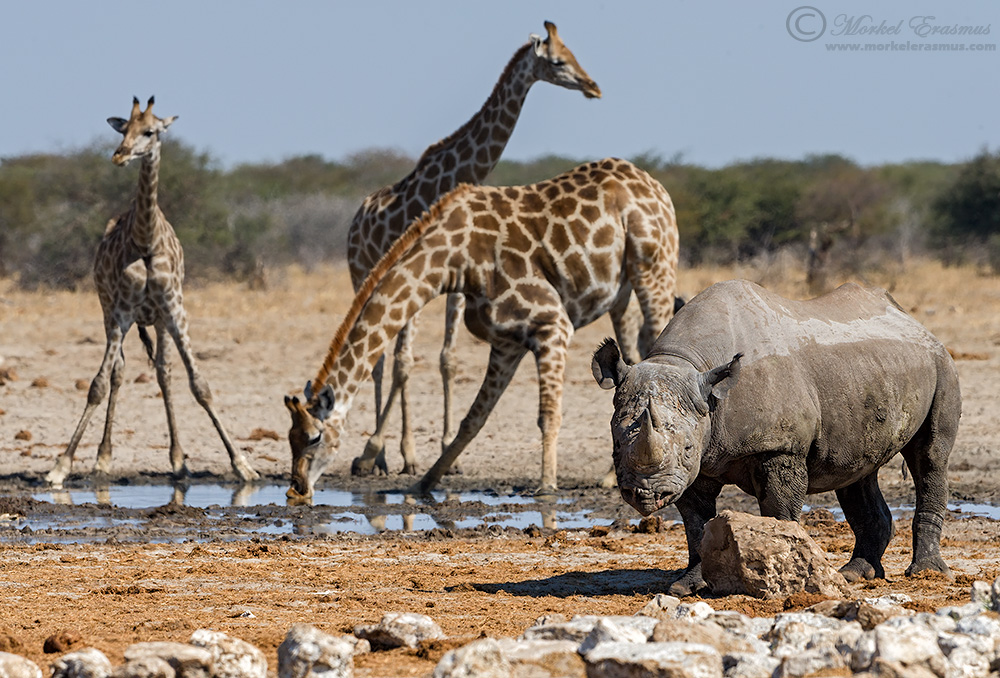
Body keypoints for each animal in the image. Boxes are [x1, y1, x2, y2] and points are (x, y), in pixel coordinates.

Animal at [46, 95, 258, 488]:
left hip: (157, 320)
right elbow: (98, 383)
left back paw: (178, 461)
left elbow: (199, 384)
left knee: (164, 372)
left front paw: (243, 465)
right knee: (119, 373)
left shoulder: (174, 310)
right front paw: (60, 466)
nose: (120, 155)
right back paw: (103, 459)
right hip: (109, 311)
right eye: (123, 129)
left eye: (151, 131)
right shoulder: (120, 313)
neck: (145, 240)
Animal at [286, 158, 684, 500]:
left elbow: (548, 415)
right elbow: (473, 419)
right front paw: (423, 483)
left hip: (654, 268)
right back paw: (610, 476)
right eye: (290, 438)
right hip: (621, 293)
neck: (455, 260)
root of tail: (654, 185)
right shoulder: (506, 340)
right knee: (630, 361)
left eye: (313, 438)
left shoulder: (552, 324)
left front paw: (546, 485)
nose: (296, 490)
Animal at [348, 19, 600, 478]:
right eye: (558, 61)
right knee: (381, 361)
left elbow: (446, 358)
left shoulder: (457, 282)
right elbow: (404, 362)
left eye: (573, 53)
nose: (593, 87)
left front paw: (446, 450)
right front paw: (393, 452)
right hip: (360, 274)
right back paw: (382, 454)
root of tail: (357, 217)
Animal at [592, 280, 960, 596]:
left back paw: (926, 572)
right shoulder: (697, 463)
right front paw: (687, 586)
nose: (645, 494)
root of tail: (913, 322)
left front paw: (782, 578)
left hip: (941, 364)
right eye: (616, 445)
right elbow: (696, 524)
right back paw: (856, 574)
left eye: (686, 447)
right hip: (869, 375)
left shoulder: (780, 447)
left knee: (930, 456)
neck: (689, 362)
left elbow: (779, 510)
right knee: (856, 472)